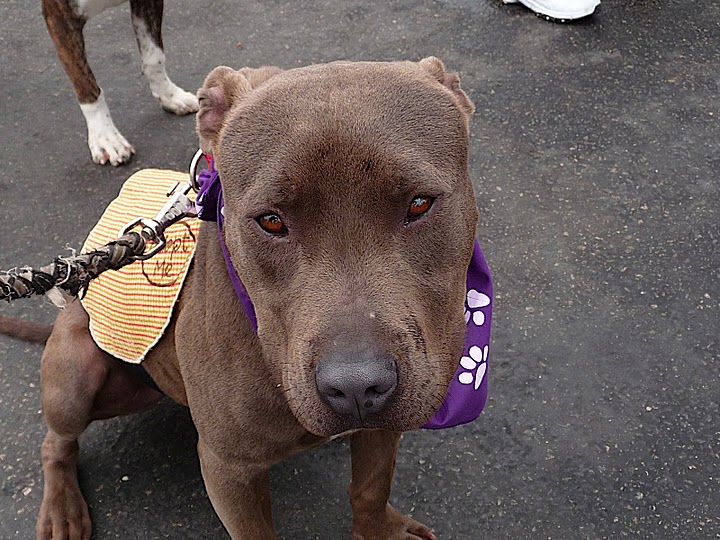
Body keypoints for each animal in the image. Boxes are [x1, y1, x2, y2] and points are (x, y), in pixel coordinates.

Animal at [19, 57, 476, 536]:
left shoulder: (388, 420)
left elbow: (371, 487)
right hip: (74, 376)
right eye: (271, 221)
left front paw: (381, 530)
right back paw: (62, 508)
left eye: (420, 203)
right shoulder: (229, 469)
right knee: (56, 443)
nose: (356, 386)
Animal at [43, 0, 198, 166]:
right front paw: (106, 137)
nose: (171, 95)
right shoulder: (60, 18)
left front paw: (170, 95)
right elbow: (85, 83)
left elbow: (154, 56)